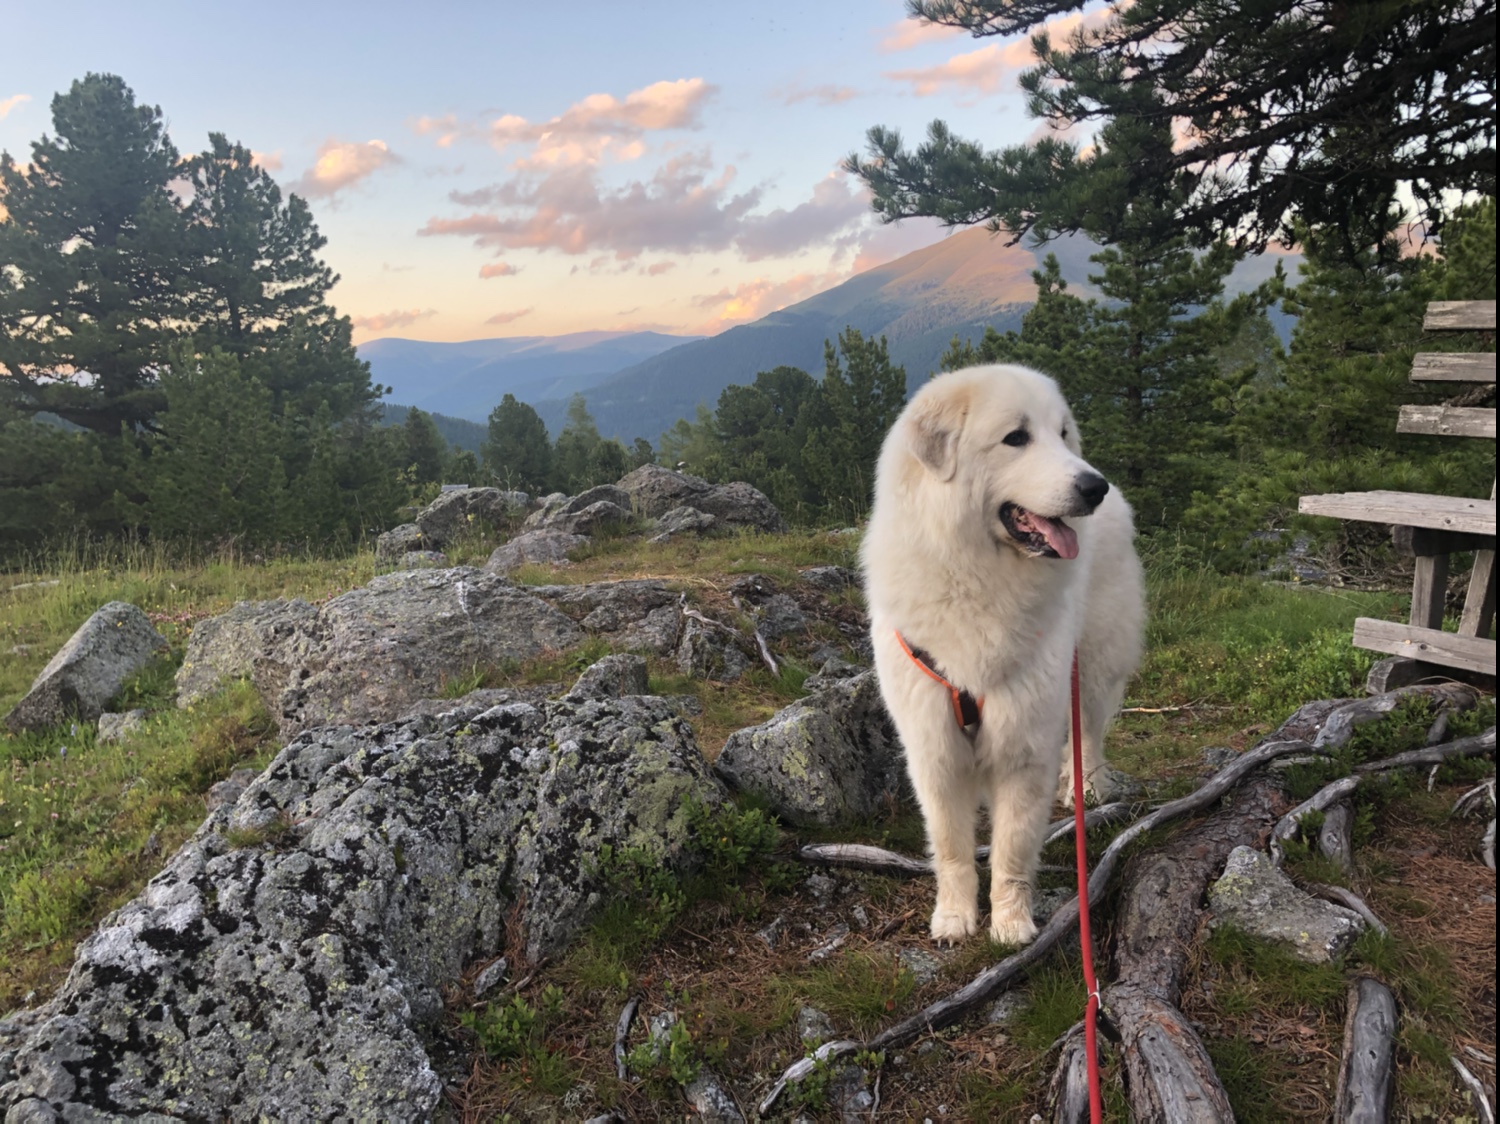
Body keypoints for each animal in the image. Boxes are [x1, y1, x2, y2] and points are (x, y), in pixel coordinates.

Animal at [862, 364, 1145, 946]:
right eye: (1016, 438)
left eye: (1062, 434)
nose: (1094, 486)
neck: (977, 575)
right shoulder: (935, 750)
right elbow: (952, 848)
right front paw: (954, 918)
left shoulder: (1023, 745)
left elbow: (1012, 851)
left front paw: (1011, 923)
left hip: (1094, 667)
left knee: (1089, 733)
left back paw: (1085, 787)